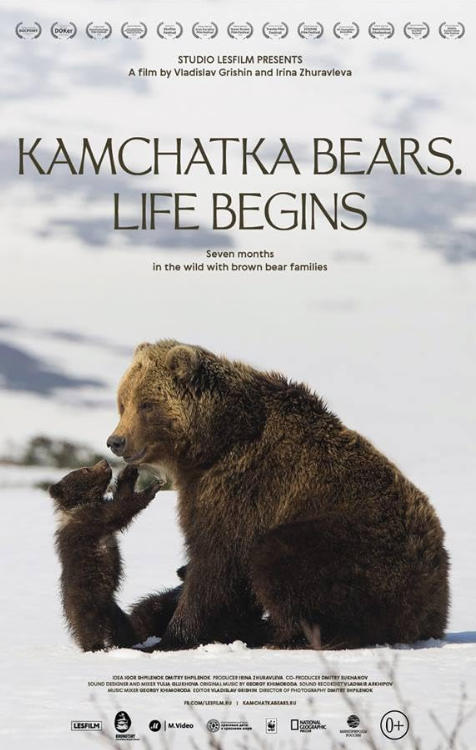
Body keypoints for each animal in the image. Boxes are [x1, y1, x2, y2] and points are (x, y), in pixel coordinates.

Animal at [49, 460, 162, 651]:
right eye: (85, 469)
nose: (104, 462)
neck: (81, 504)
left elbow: (121, 497)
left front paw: (129, 472)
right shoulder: (91, 520)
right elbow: (121, 509)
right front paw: (152, 487)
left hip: (112, 609)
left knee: (123, 627)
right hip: (88, 601)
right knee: (90, 628)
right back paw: (95, 646)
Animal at [107, 340, 449, 650]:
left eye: (146, 404)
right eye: (123, 402)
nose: (116, 441)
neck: (212, 443)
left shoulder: (242, 487)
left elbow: (217, 563)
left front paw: (171, 637)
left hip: (359, 550)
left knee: (278, 558)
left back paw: (283, 636)